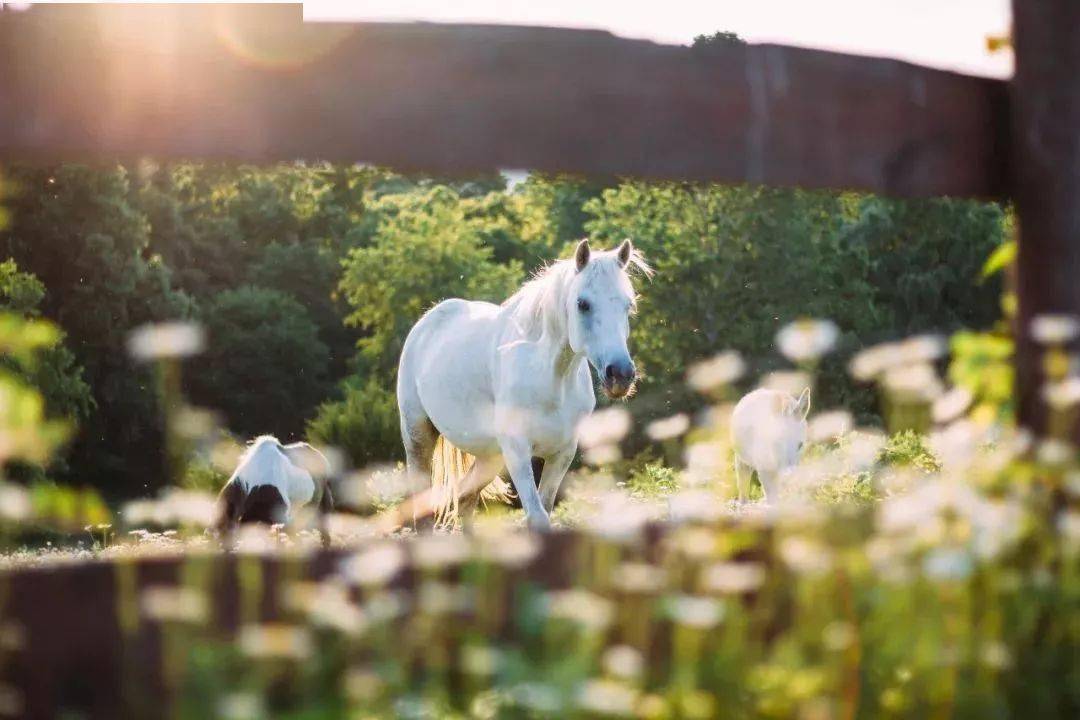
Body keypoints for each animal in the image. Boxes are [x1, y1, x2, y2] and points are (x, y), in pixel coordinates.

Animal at [397, 240, 648, 528]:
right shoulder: (517, 451)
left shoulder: (562, 453)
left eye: (628, 305)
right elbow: (537, 516)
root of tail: (426, 322)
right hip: (418, 435)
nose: (621, 374)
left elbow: (545, 508)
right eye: (582, 304)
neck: (551, 381)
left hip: (490, 456)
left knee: (466, 499)